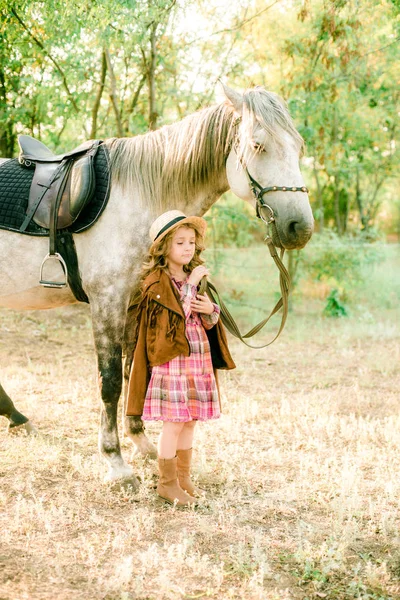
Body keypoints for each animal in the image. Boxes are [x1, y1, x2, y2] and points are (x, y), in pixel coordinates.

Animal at [0, 84, 312, 488]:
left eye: (298, 145)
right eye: (258, 145)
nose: (299, 228)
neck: (137, 197)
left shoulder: (136, 299)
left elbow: (136, 368)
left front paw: (140, 442)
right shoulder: (108, 300)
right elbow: (111, 381)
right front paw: (115, 462)